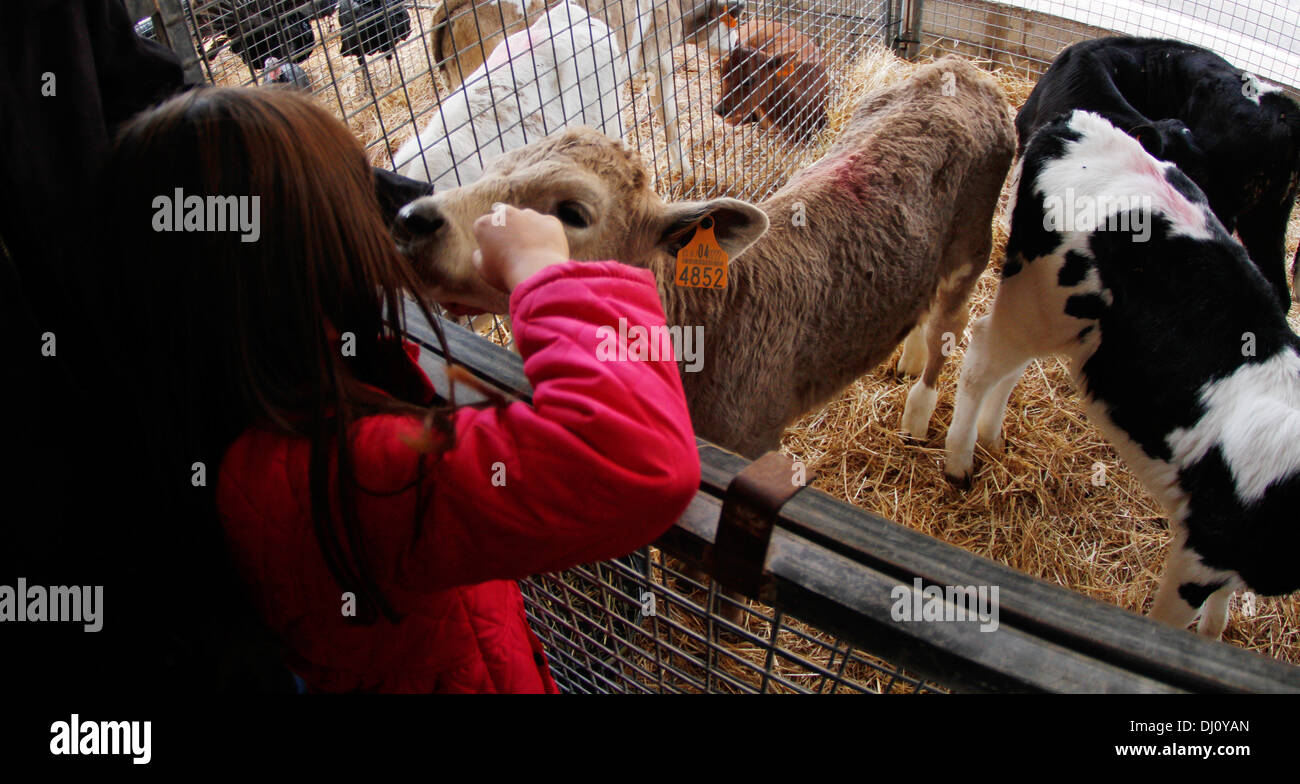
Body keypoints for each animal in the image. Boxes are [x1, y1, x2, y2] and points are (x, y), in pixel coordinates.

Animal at [946, 110, 1300, 637]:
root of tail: (1076, 124)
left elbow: (1220, 609)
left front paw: (1216, 631)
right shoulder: (1203, 552)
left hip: (1054, 321)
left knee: (1009, 367)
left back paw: (992, 439)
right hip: (1040, 302)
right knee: (982, 359)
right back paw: (959, 462)